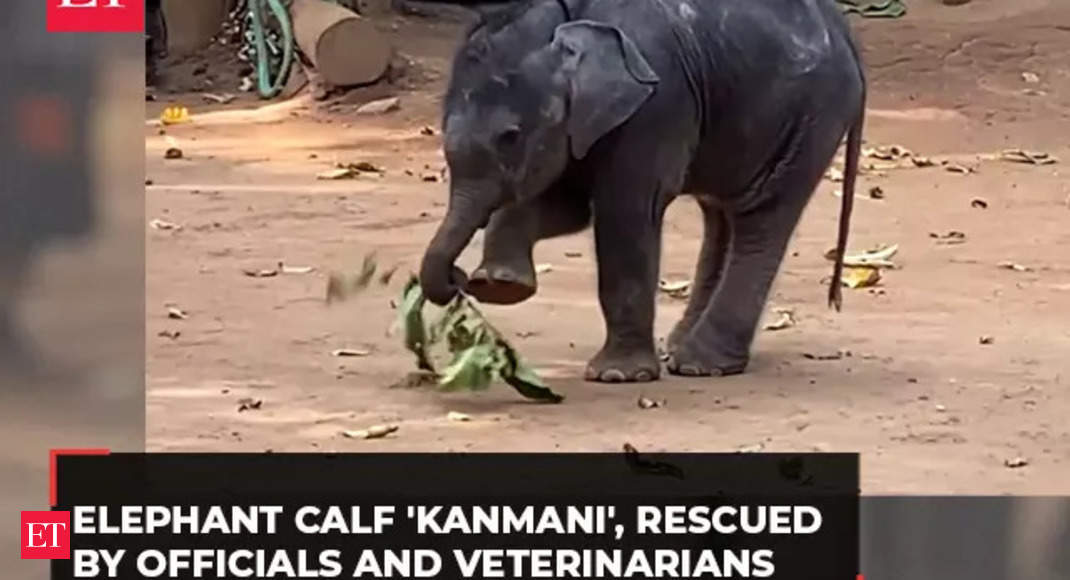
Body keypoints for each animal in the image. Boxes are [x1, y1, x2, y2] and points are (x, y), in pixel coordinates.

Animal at [413, 0, 864, 385]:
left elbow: (624, 214)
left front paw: (617, 376)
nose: (457, 279)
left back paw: (701, 365)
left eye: (510, 136)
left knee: (762, 217)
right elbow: (567, 207)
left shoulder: (656, 105)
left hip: (809, 121)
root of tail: (847, 33)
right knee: (722, 216)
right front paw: (501, 286)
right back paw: (680, 353)